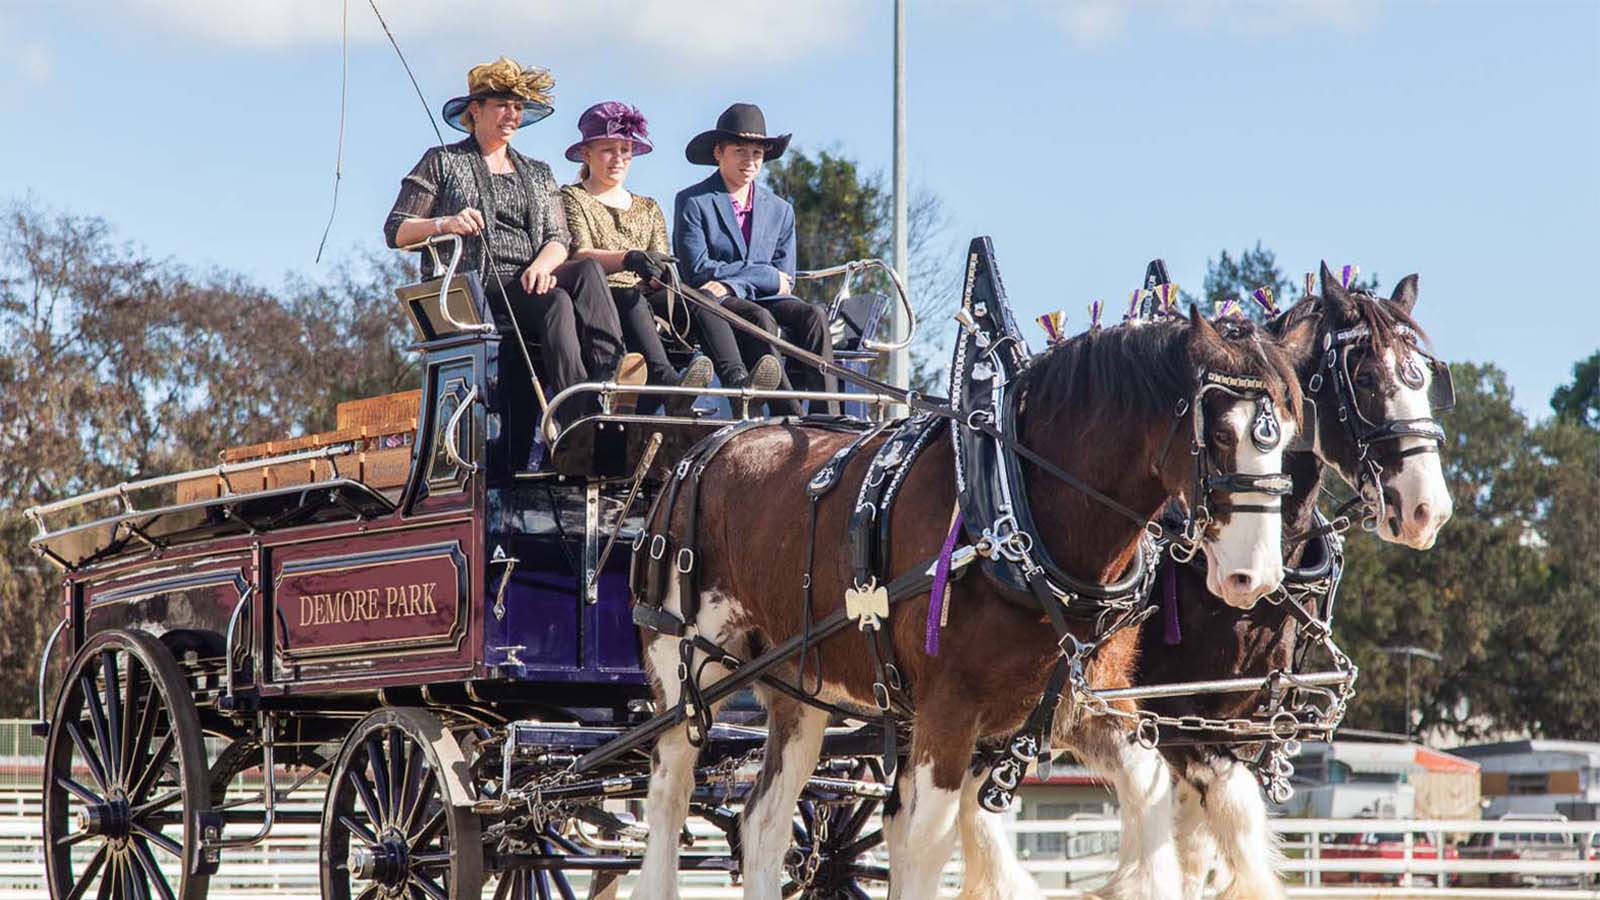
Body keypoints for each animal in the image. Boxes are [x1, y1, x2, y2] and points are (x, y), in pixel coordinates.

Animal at [624, 307, 1312, 896]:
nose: (1253, 578)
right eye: (1218, 433)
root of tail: (701, 448)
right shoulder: (947, 712)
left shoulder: (1087, 701)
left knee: (763, 822)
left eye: (1290, 437)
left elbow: (1147, 793)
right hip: (685, 672)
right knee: (667, 797)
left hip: (801, 690)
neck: (1014, 512)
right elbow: (927, 840)